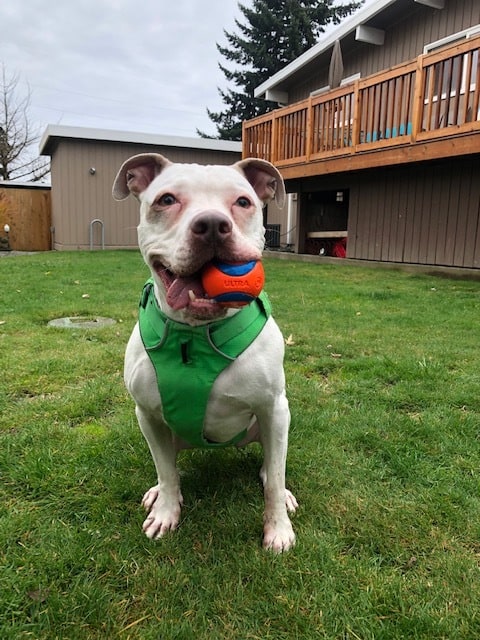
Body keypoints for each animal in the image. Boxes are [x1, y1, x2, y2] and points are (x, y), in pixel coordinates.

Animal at [113, 154, 296, 552]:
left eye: (243, 202)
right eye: (166, 200)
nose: (212, 225)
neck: (195, 337)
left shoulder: (273, 408)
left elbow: (274, 480)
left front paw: (278, 529)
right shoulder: (146, 414)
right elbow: (166, 471)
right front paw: (166, 511)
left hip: (274, 422)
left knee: (272, 463)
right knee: (169, 465)